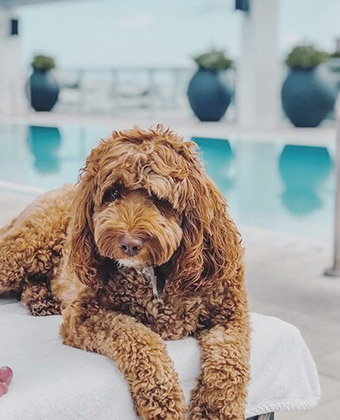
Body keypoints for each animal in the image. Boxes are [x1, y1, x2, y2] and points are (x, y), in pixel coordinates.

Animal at [0, 125, 250, 420]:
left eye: (158, 198)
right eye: (113, 193)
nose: (129, 243)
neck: (155, 275)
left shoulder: (231, 315)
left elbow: (230, 364)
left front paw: (216, 409)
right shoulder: (87, 314)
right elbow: (140, 339)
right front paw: (163, 400)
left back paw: (40, 299)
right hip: (28, 246)